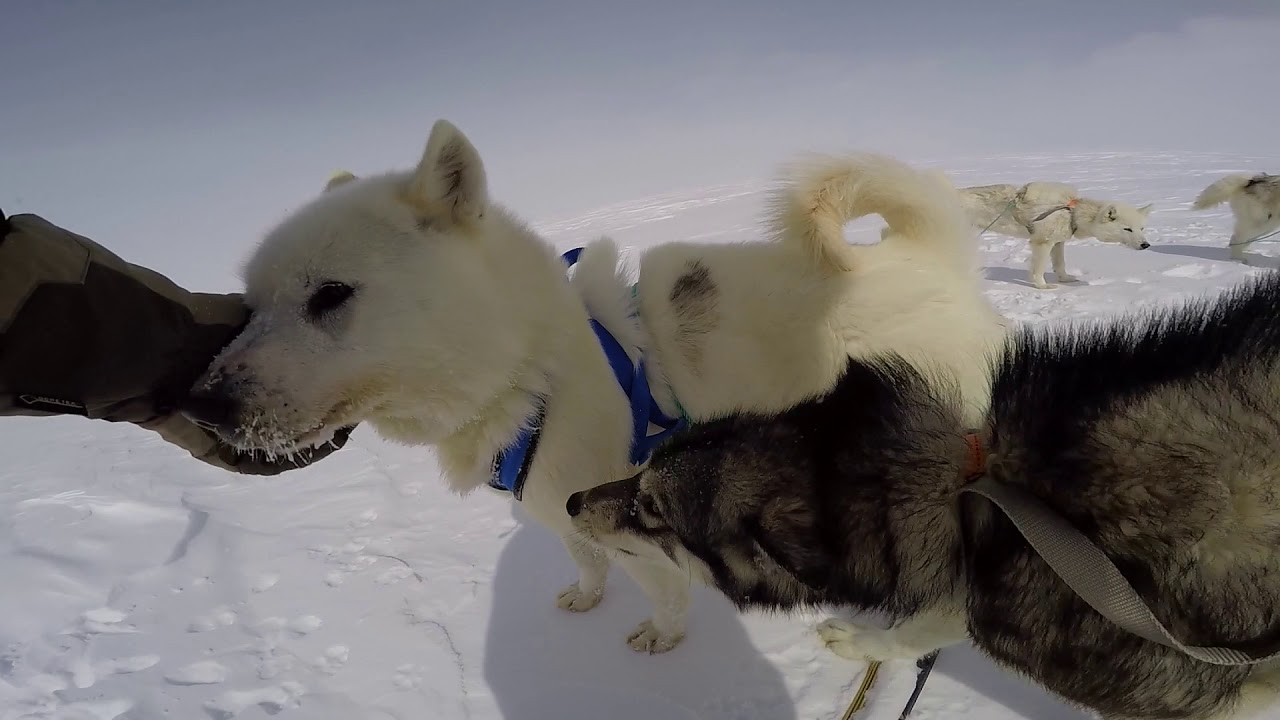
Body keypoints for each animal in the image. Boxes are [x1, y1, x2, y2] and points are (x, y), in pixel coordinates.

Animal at [183, 120, 1008, 653]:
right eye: (250, 304)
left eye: (330, 295)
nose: (202, 403)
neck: (531, 370)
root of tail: (924, 255)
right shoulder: (559, 509)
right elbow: (582, 560)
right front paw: (585, 599)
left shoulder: (639, 527)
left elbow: (665, 592)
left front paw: (661, 636)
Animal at [957, 180, 1157, 286]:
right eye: (1127, 229)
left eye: (1141, 229)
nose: (1145, 245)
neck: (1072, 213)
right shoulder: (1042, 242)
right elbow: (1038, 270)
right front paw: (1043, 287)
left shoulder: (1058, 243)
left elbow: (1060, 265)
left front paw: (1066, 280)